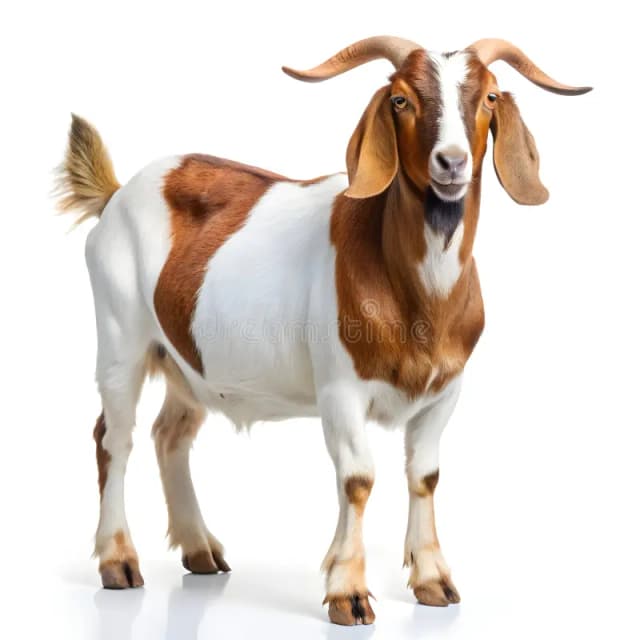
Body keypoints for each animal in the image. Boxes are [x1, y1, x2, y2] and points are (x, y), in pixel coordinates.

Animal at [56, 36, 591, 625]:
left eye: (490, 96)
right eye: (400, 99)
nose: (451, 162)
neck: (418, 298)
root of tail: (116, 194)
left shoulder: (445, 391)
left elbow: (425, 475)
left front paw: (433, 581)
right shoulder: (340, 389)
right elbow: (357, 478)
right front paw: (347, 592)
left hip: (186, 362)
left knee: (169, 434)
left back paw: (200, 550)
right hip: (120, 339)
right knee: (114, 438)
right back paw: (118, 562)